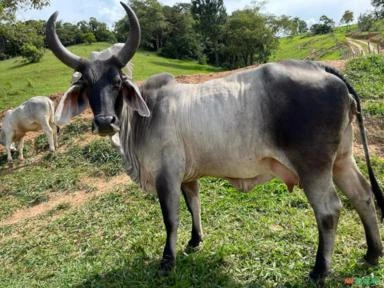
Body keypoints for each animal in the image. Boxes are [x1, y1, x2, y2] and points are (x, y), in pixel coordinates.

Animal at [47, 2, 384, 284]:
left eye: (117, 82)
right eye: (86, 85)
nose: (105, 122)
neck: (144, 117)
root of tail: (321, 68)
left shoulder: (166, 177)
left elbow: (171, 219)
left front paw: (167, 262)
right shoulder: (187, 177)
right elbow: (193, 206)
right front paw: (195, 241)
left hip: (313, 167)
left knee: (329, 211)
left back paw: (319, 270)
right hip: (341, 159)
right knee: (363, 196)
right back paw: (372, 253)